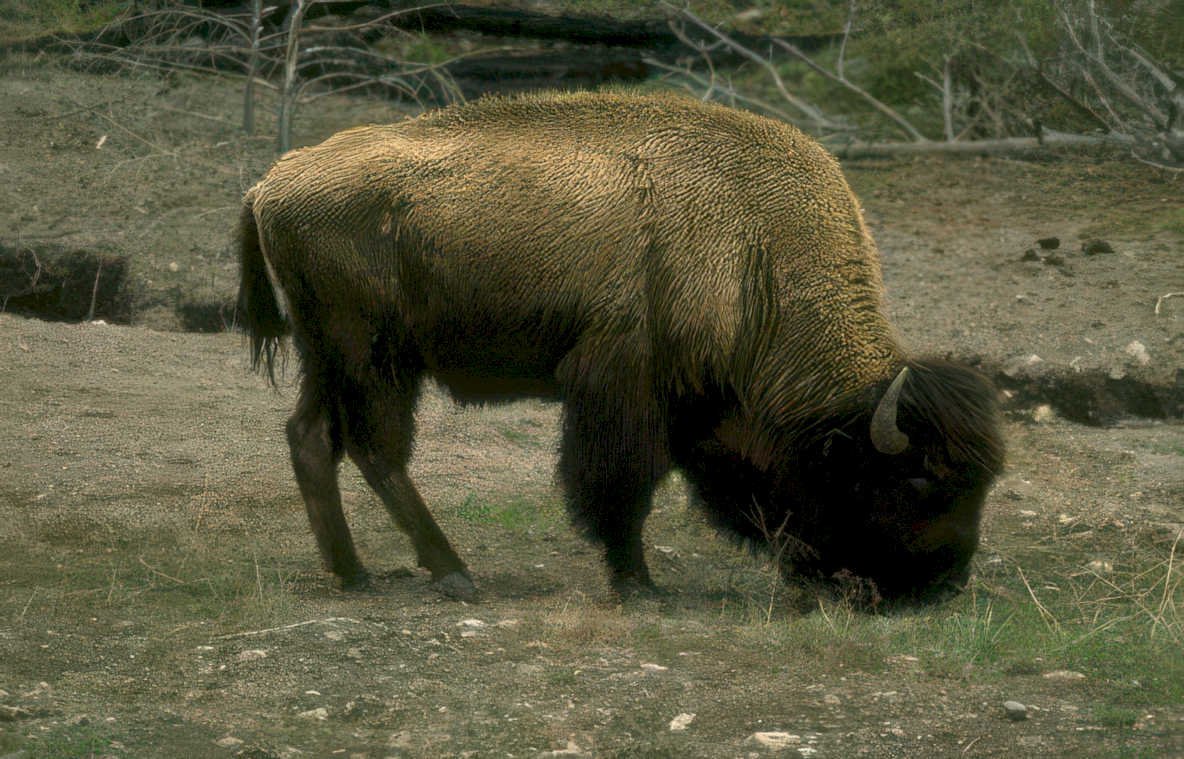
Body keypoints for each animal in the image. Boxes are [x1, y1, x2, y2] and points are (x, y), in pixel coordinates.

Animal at [237, 91, 1003, 603]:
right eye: (919, 480)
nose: (944, 582)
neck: (756, 246)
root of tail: (272, 181)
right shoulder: (624, 384)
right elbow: (623, 485)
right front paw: (638, 584)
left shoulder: (692, 401)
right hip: (373, 353)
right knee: (377, 450)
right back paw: (452, 573)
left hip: (329, 353)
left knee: (311, 437)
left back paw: (354, 572)